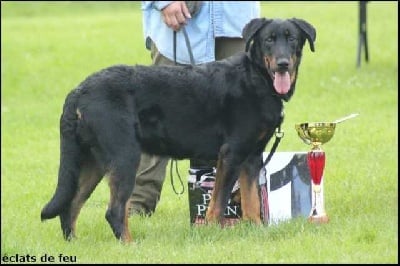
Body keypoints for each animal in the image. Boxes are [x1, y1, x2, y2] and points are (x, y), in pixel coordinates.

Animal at [40, 17, 316, 243]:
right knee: (114, 211)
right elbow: (217, 202)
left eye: (292, 39)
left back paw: (74, 243)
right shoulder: (231, 153)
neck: (257, 78)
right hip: (124, 156)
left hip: (93, 161)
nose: (282, 64)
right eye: (269, 40)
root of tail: (79, 91)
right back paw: (130, 245)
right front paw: (212, 233)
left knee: (70, 205)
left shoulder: (251, 157)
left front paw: (255, 231)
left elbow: (251, 201)